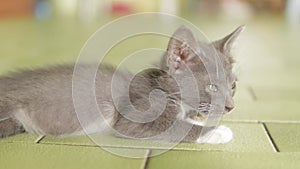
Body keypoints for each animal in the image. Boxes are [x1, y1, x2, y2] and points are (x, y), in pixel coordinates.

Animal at [0, 25, 244, 144]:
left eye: (233, 86)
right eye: (212, 87)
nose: (231, 107)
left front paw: (198, 119)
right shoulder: (133, 116)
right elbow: (177, 127)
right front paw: (218, 131)